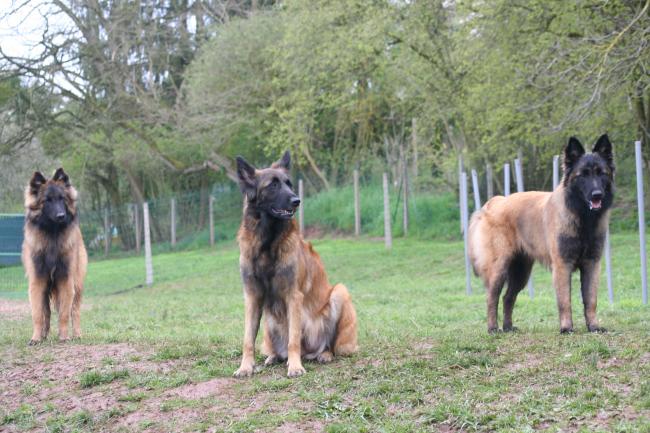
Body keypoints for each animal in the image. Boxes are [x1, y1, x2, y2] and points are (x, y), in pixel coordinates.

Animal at [21, 167, 87, 342]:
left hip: (77, 284)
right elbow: (38, 314)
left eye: (61, 198)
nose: (61, 216)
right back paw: (44, 335)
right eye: (47, 200)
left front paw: (64, 337)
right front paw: (36, 338)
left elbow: (64, 313)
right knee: (47, 313)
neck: (52, 235)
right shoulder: (37, 281)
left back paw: (77, 334)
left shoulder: (66, 279)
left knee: (75, 310)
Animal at [230, 150, 356, 376]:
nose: (297, 200)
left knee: (329, 344)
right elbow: (248, 339)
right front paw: (245, 367)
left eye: (289, 183)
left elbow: (294, 338)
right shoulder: (252, 296)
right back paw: (273, 357)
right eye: (273, 185)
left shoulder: (293, 295)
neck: (268, 242)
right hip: (270, 323)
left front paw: (295, 366)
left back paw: (323, 354)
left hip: (339, 292)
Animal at [466, 135, 612, 334]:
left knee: (508, 297)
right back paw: (493, 328)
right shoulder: (562, 265)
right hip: (500, 267)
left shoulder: (592, 264)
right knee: (492, 297)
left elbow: (591, 300)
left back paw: (508, 327)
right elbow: (565, 301)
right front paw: (566, 328)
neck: (582, 217)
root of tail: (493, 202)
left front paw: (594, 326)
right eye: (583, 175)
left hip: (521, 272)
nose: (597, 194)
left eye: (601, 173)